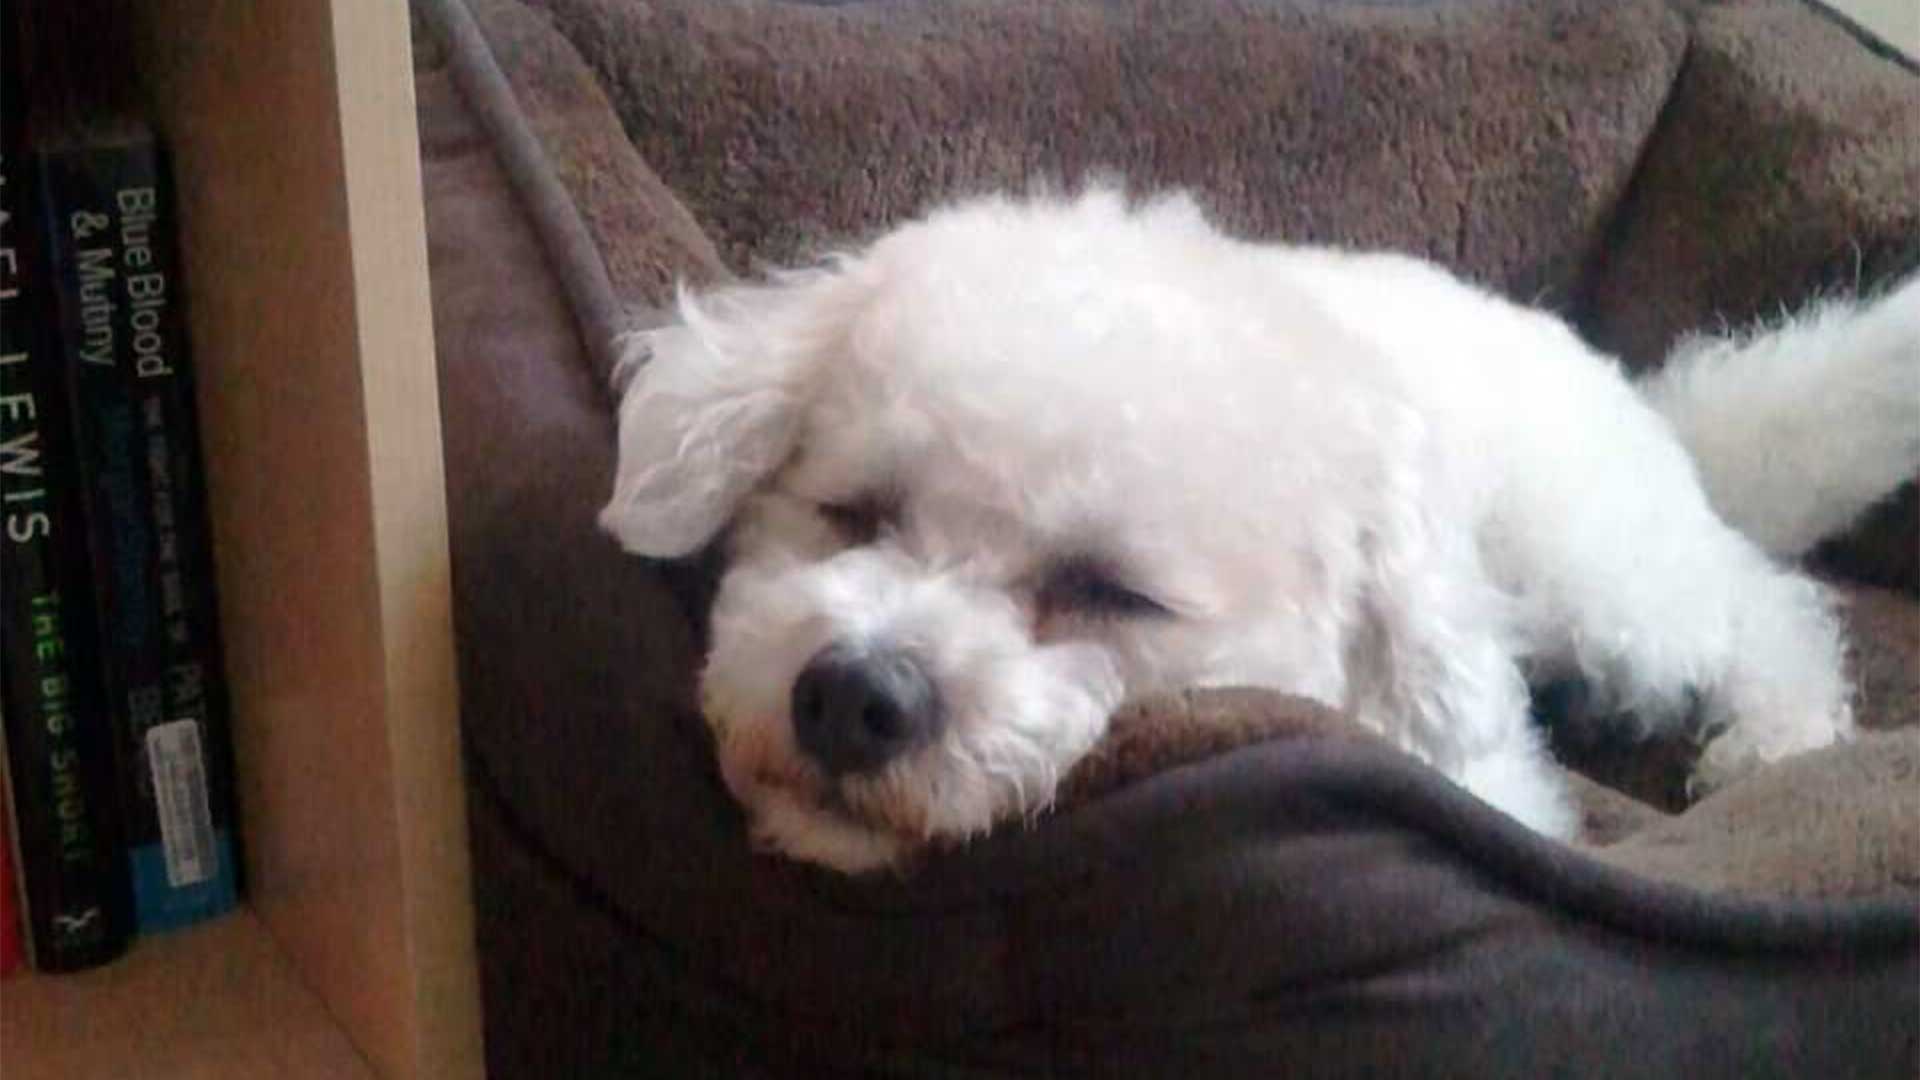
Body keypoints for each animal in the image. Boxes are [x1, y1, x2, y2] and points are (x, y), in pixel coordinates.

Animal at [599, 189, 1920, 868]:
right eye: (851, 512)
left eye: (1117, 592)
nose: (853, 695)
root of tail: (1625, 388)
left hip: (1608, 578)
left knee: (1764, 603)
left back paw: (1778, 737)